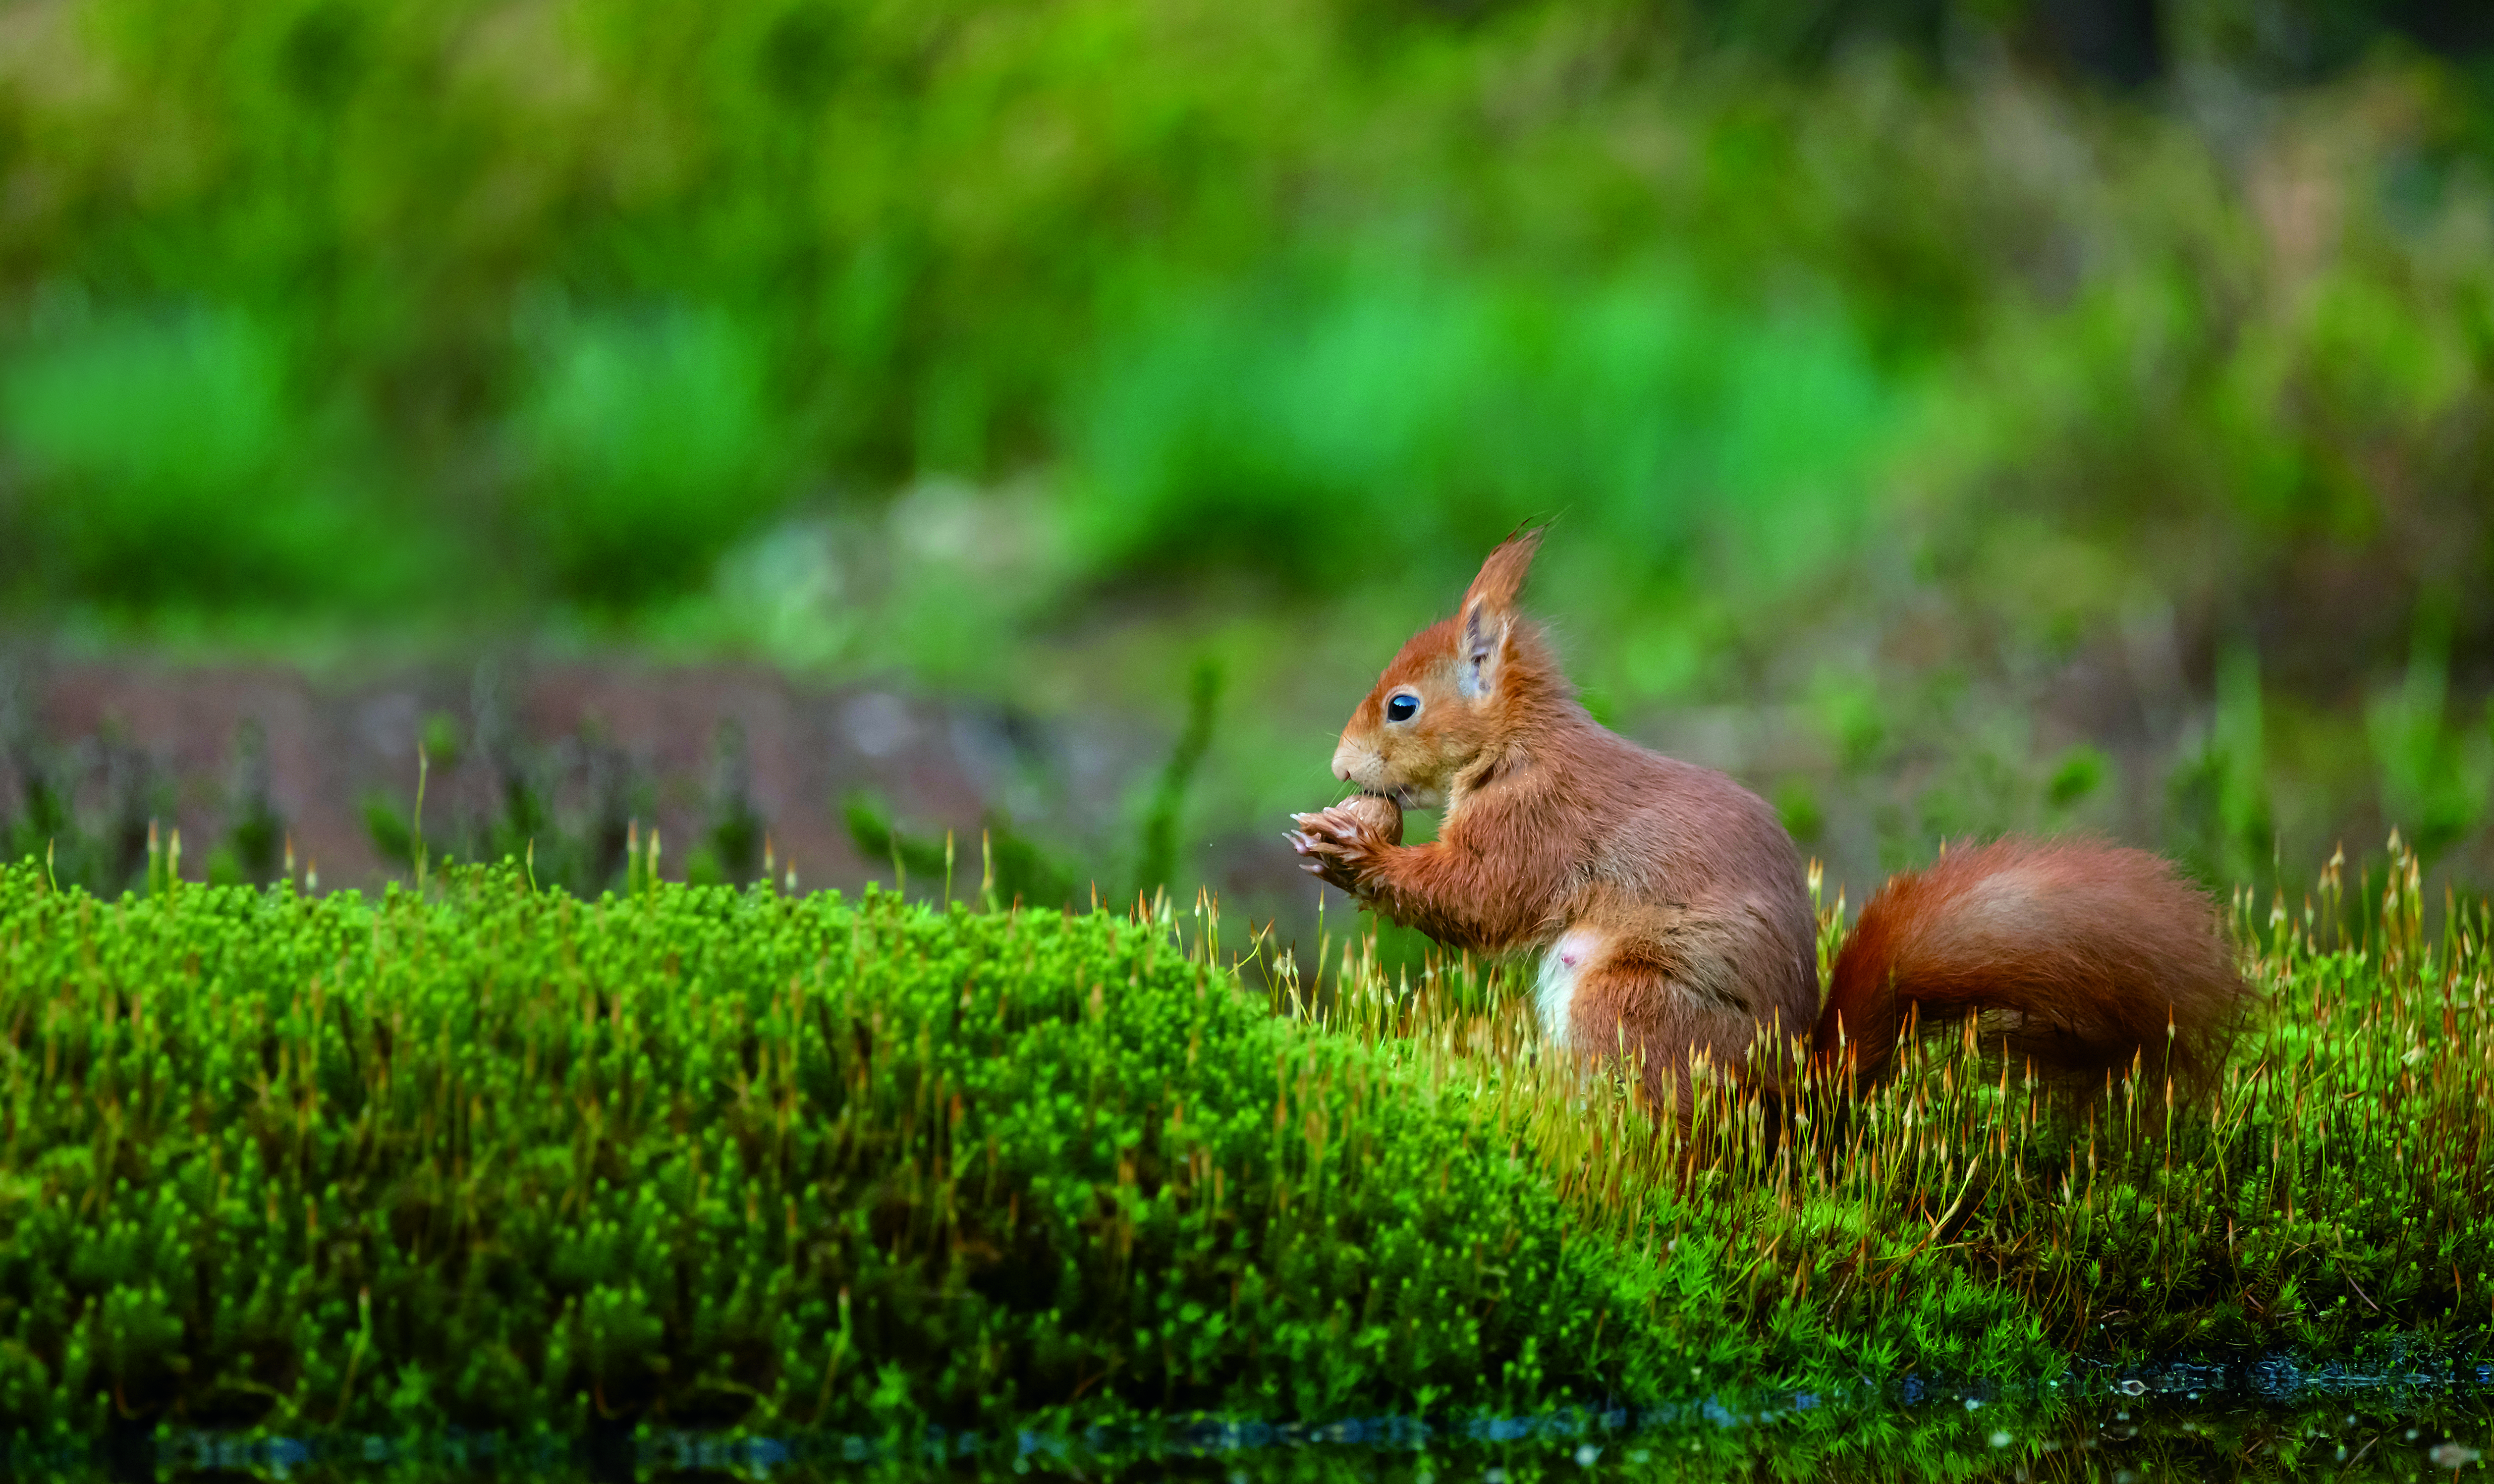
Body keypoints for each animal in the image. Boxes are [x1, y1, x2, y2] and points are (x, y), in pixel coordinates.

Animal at [1287, 528, 2248, 1115]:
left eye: (1403, 706)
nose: (1339, 767)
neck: (1517, 744)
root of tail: (1788, 1094)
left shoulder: (1542, 820)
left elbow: (1481, 896)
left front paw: (1350, 849)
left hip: (1631, 1004)